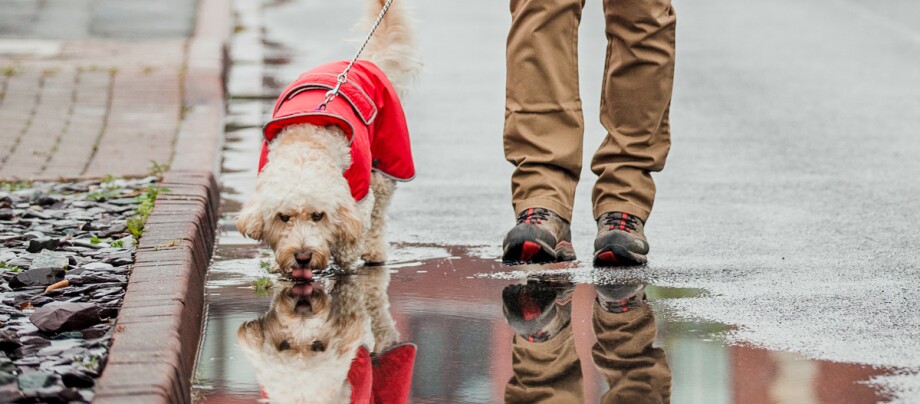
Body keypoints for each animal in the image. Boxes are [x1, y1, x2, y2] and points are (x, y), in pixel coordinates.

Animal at [239, 0, 422, 280]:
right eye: (283, 217)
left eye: (318, 216)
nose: (303, 257)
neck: (305, 143)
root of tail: (364, 62)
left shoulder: (358, 194)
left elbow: (352, 233)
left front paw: (343, 260)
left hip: (387, 161)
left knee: (379, 214)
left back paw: (374, 252)